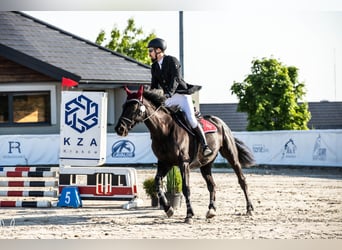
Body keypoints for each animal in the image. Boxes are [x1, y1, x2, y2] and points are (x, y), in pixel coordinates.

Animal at [115, 85, 254, 223]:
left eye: (134, 108)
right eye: (123, 106)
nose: (119, 129)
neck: (164, 130)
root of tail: (220, 122)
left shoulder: (184, 163)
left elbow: (186, 188)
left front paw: (189, 215)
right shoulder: (164, 163)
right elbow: (157, 183)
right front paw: (168, 209)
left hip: (230, 155)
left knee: (242, 180)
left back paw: (249, 209)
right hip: (206, 164)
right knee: (212, 185)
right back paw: (211, 210)